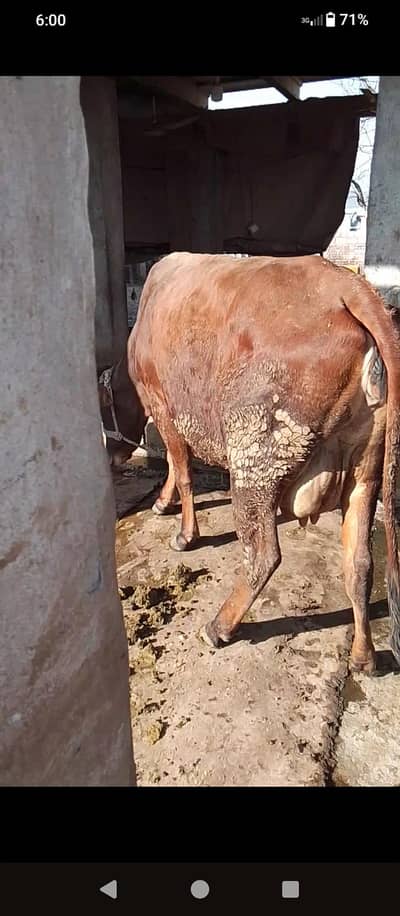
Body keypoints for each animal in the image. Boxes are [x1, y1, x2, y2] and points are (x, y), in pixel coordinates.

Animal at [99, 252, 400, 675]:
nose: (108, 454)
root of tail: (349, 286)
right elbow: (176, 464)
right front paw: (162, 502)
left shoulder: (162, 405)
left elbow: (181, 467)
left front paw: (184, 533)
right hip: (365, 473)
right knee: (358, 564)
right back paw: (363, 656)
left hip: (255, 458)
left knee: (263, 554)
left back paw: (219, 626)